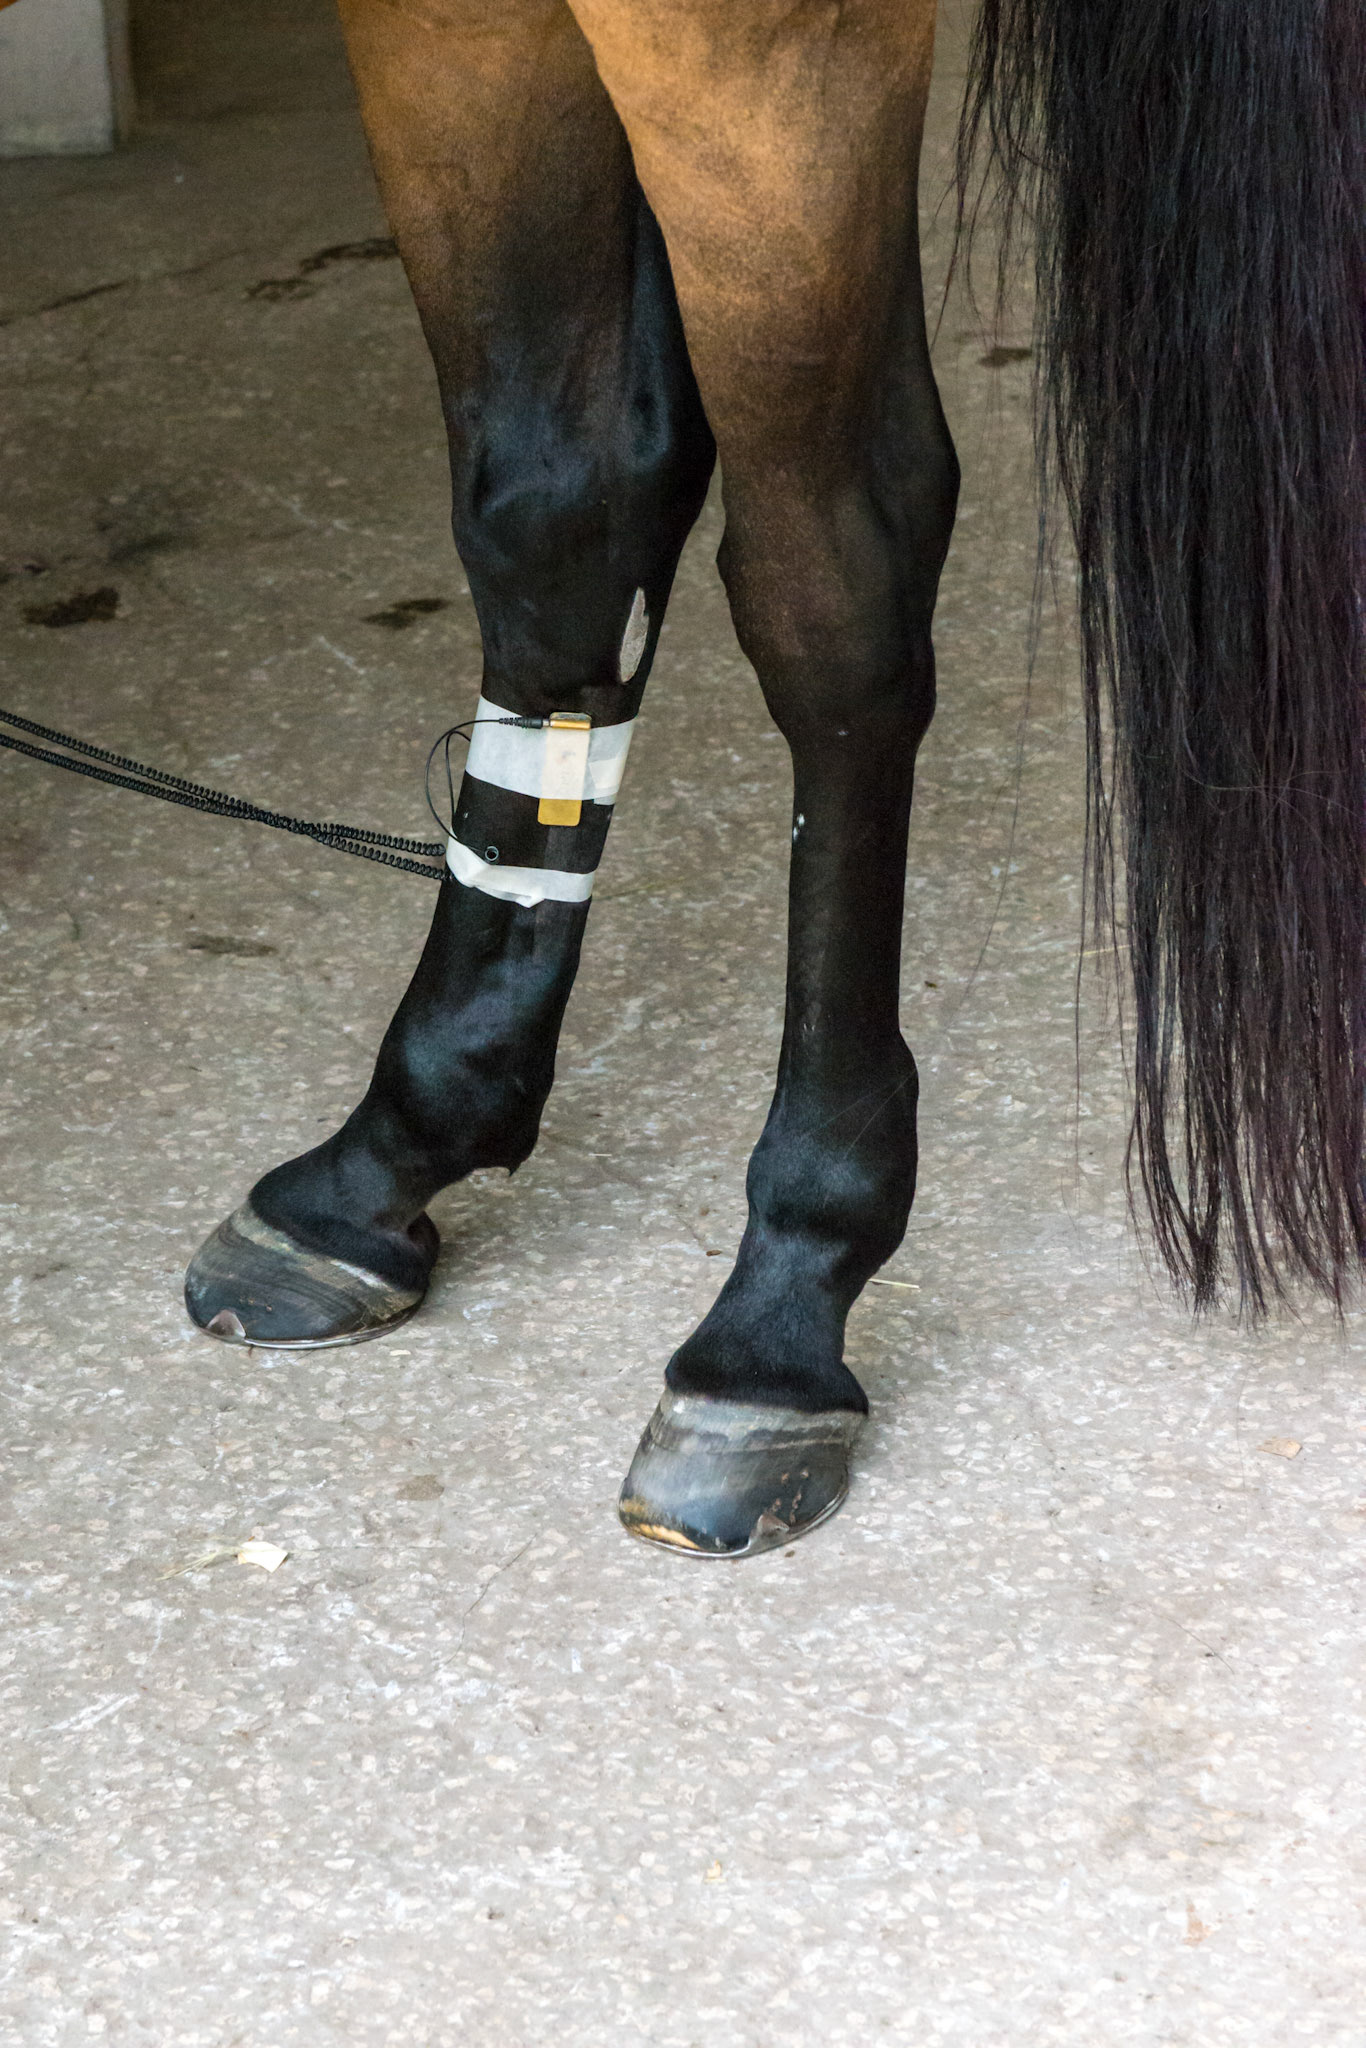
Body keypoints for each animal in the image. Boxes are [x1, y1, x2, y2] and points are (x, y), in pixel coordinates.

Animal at [183, 0, 1366, 1557]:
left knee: (835, 575)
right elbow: (559, 508)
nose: (781, 1312)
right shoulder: (444, 27)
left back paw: (778, 1301)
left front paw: (786, 1306)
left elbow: (828, 595)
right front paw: (393, 1153)